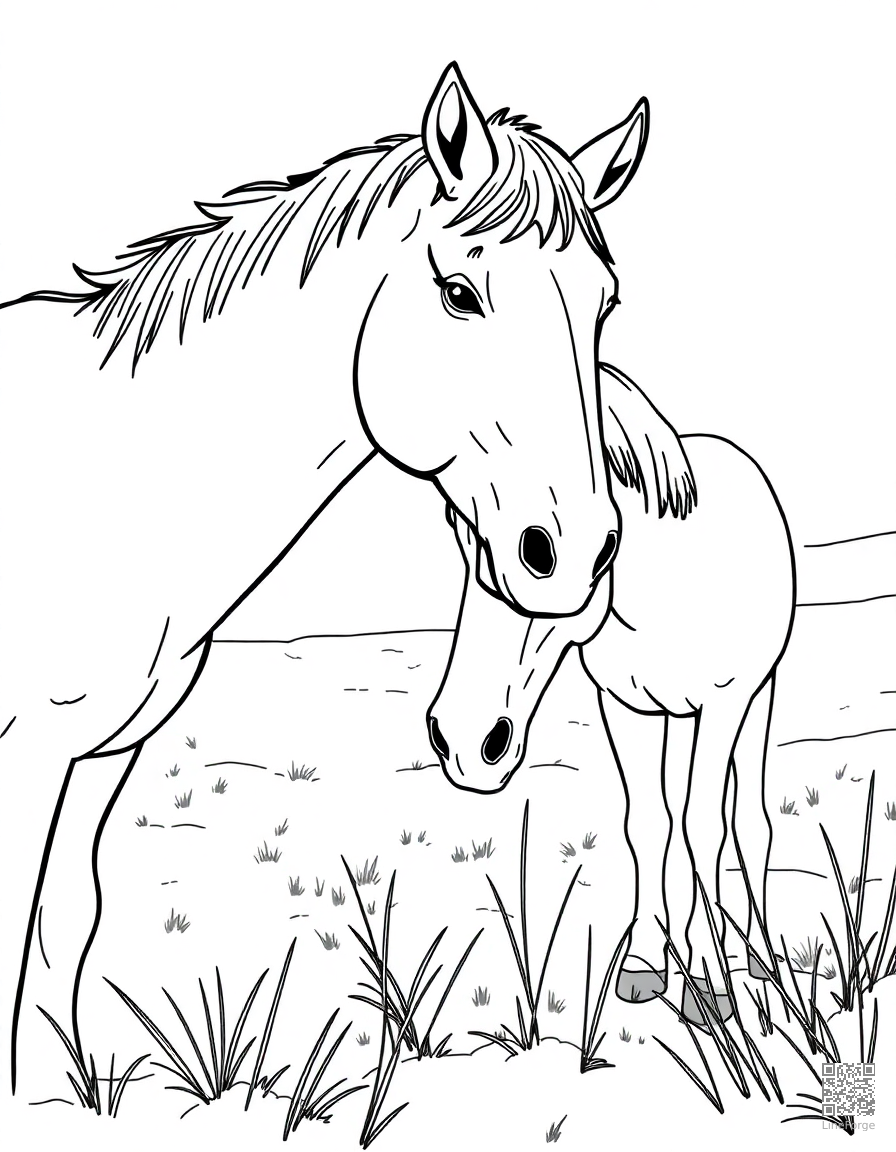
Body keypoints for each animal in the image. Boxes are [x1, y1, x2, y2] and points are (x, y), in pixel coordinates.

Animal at [0, 62, 654, 1098]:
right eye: (460, 293)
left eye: (605, 306)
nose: (571, 552)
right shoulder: (20, 751)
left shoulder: (98, 753)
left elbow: (61, 938)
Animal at [426, 363, 796, 1023]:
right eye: (455, 524)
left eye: (544, 550)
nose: (465, 742)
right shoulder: (627, 706)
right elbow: (648, 824)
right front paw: (650, 961)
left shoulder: (723, 706)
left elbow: (706, 827)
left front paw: (715, 984)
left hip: (757, 696)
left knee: (749, 823)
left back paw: (758, 958)